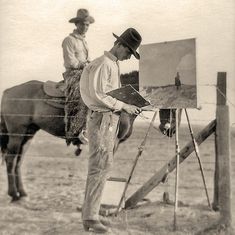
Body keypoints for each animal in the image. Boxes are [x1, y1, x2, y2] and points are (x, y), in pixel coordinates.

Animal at [0, 70, 178, 201]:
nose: (171, 130)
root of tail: (8, 91)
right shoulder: (111, 141)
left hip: (27, 135)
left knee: (18, 161)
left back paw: (22, 193)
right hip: (16, 133)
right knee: (10, 160)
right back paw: (14, 194)